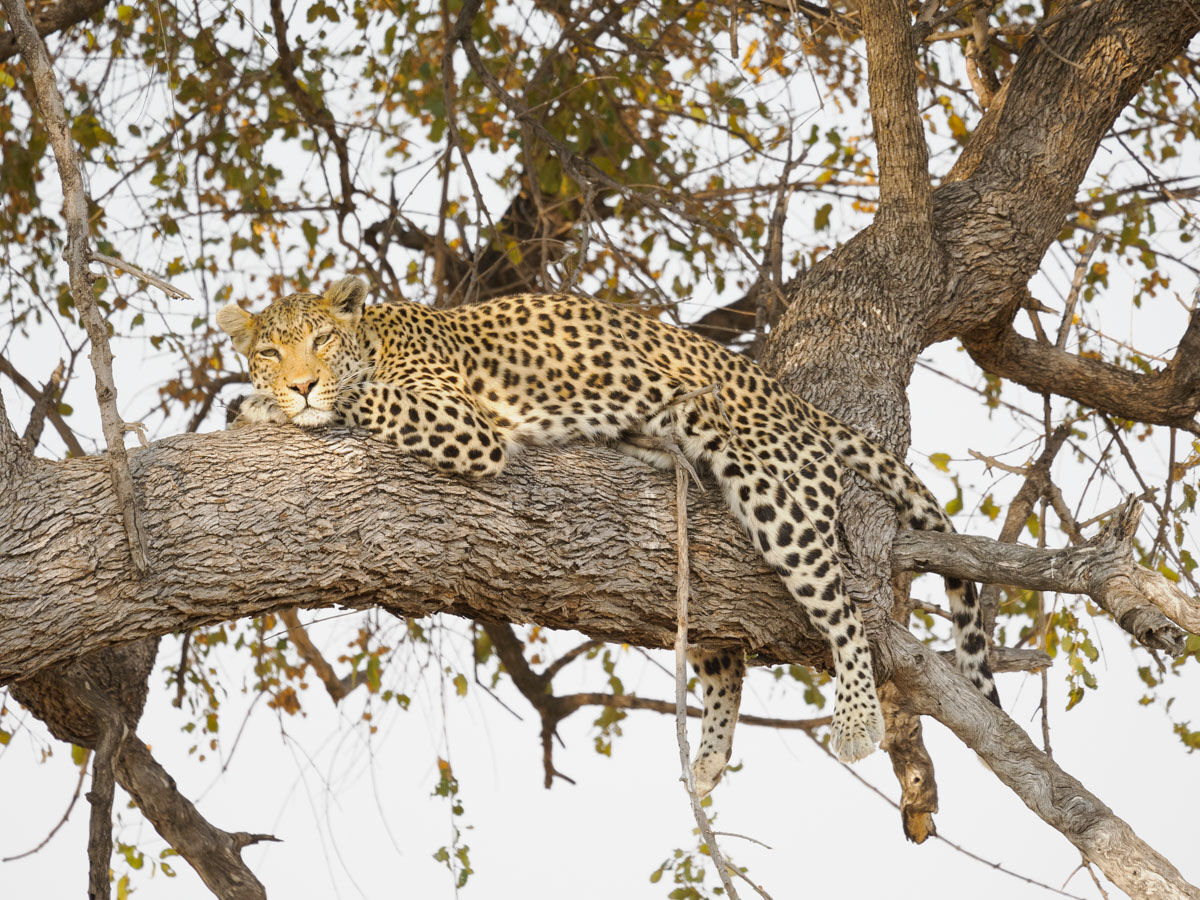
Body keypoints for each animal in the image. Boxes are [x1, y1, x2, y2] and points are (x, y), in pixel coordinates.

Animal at [218, 276, 1000, 796]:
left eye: (320, 339)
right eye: (270, 349)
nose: (300, 383)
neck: (376, 334)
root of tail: (793, 400)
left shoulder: (465, 425)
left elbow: (360, 397)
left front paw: (270, 406)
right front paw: (264, 401)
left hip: (775, 491)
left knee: (844, 613)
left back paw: (857, 719)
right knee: (725, 651)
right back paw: (707, 759)